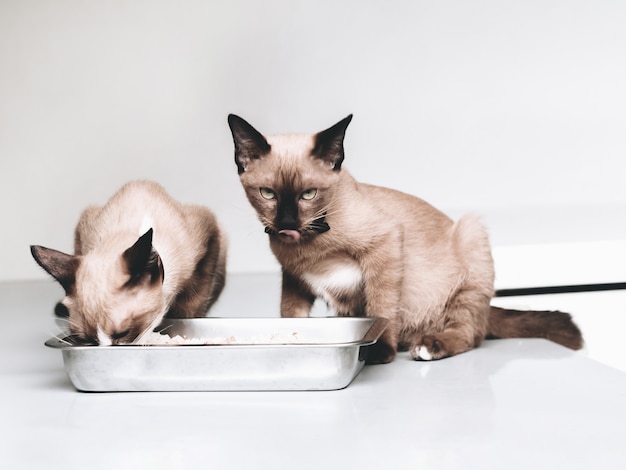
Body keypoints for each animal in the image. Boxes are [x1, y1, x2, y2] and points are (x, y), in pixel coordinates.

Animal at [227, 113, 584, 364]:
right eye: (268, 194)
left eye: (309, 194)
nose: (286, 224)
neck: (309, 246)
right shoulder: (294, 277)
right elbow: (291, 316)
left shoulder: (385, 245)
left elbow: (382, 307)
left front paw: (379, 352)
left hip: (471, 235)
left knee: (471, 333)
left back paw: (427, 345)